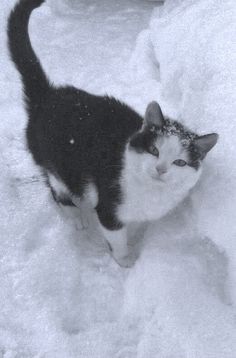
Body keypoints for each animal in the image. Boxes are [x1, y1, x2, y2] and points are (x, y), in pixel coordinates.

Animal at [6, 0, 218, 268]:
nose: (160, 169)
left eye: (180, 162)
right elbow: (116, 236)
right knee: (55, 186)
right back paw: (75, 214)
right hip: (57, 162)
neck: (150, 191)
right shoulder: (110, 205)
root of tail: (48, 95)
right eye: (154, 150)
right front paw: (124, 258)